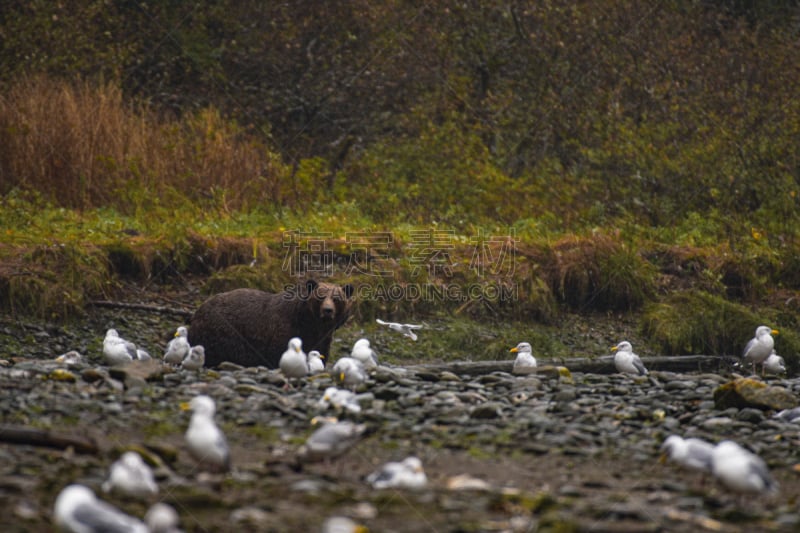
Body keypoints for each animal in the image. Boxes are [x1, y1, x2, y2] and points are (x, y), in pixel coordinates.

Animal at [189, 276, 352, 368]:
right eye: (320, 297)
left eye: (336, 299)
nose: (328, 310)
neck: (310, 324)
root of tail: (199, 309)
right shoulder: (283, 332)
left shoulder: (322, 338)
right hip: (221, 332)